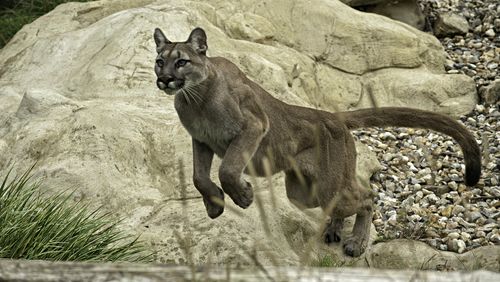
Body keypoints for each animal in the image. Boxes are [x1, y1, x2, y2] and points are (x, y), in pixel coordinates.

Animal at [152, 27, 480, 256]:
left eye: (181, 62)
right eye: (159, 61)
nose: (165, 79)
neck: (195, 99)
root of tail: (332, 116)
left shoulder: (254, 126)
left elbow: (227, 169)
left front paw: (242, 196)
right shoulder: (201, 141)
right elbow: (198, 177)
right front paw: (214, 205)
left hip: (327, 187)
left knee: (367, 195)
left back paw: (356, 242)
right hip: (303, 193)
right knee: (344, 197)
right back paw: (334, 229)